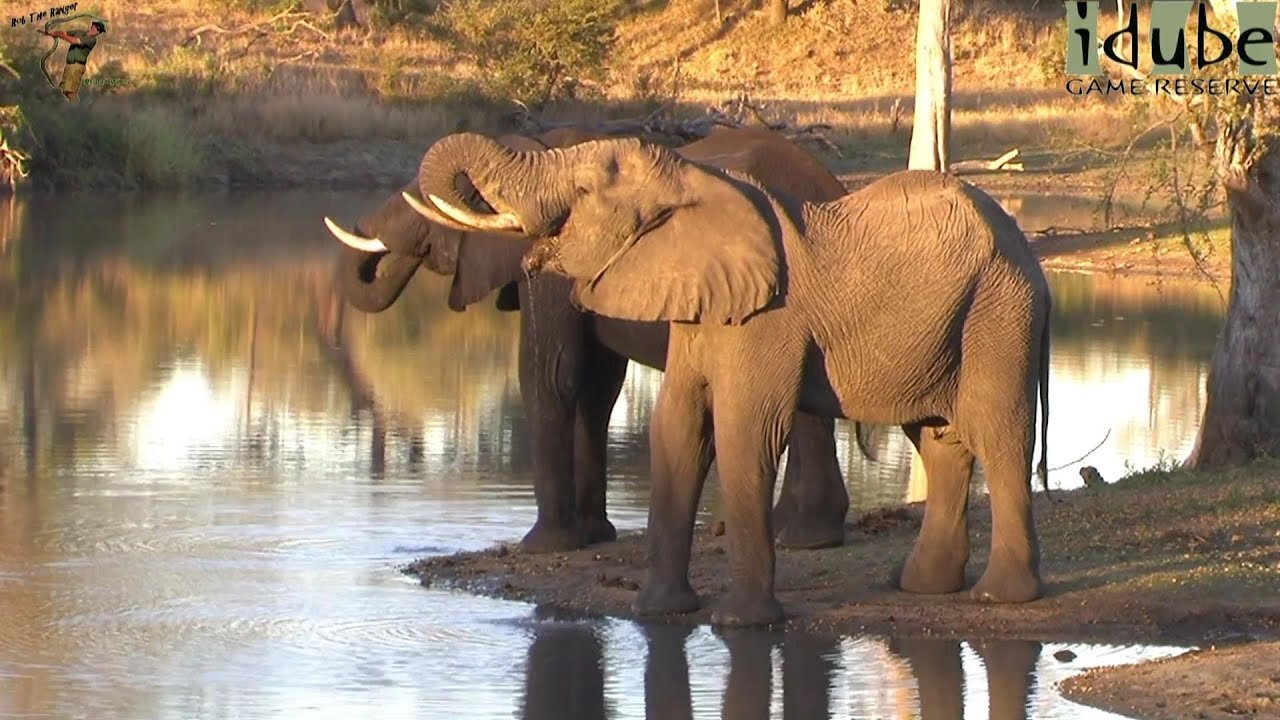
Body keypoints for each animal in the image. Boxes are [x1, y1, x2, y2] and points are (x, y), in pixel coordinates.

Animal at [320, 124, 865, 548]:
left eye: (429, 205)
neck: (537, 152)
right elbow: (596, 388)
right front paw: (593, 534)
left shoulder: (556, 269)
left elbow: (549, 373)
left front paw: (543, 546)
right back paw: (788, 532)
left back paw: (802, 538)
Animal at [414, 131, 1054, 625]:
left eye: (584, 192)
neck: (696, 181)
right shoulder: (699, 308)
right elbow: (676, 427)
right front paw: (658, 611)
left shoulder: (767, 318)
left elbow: (744, 433)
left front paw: (739, 623)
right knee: (940, 440)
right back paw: (920, 586)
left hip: (1000, 311)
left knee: (998, 435)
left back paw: (1000, 596)